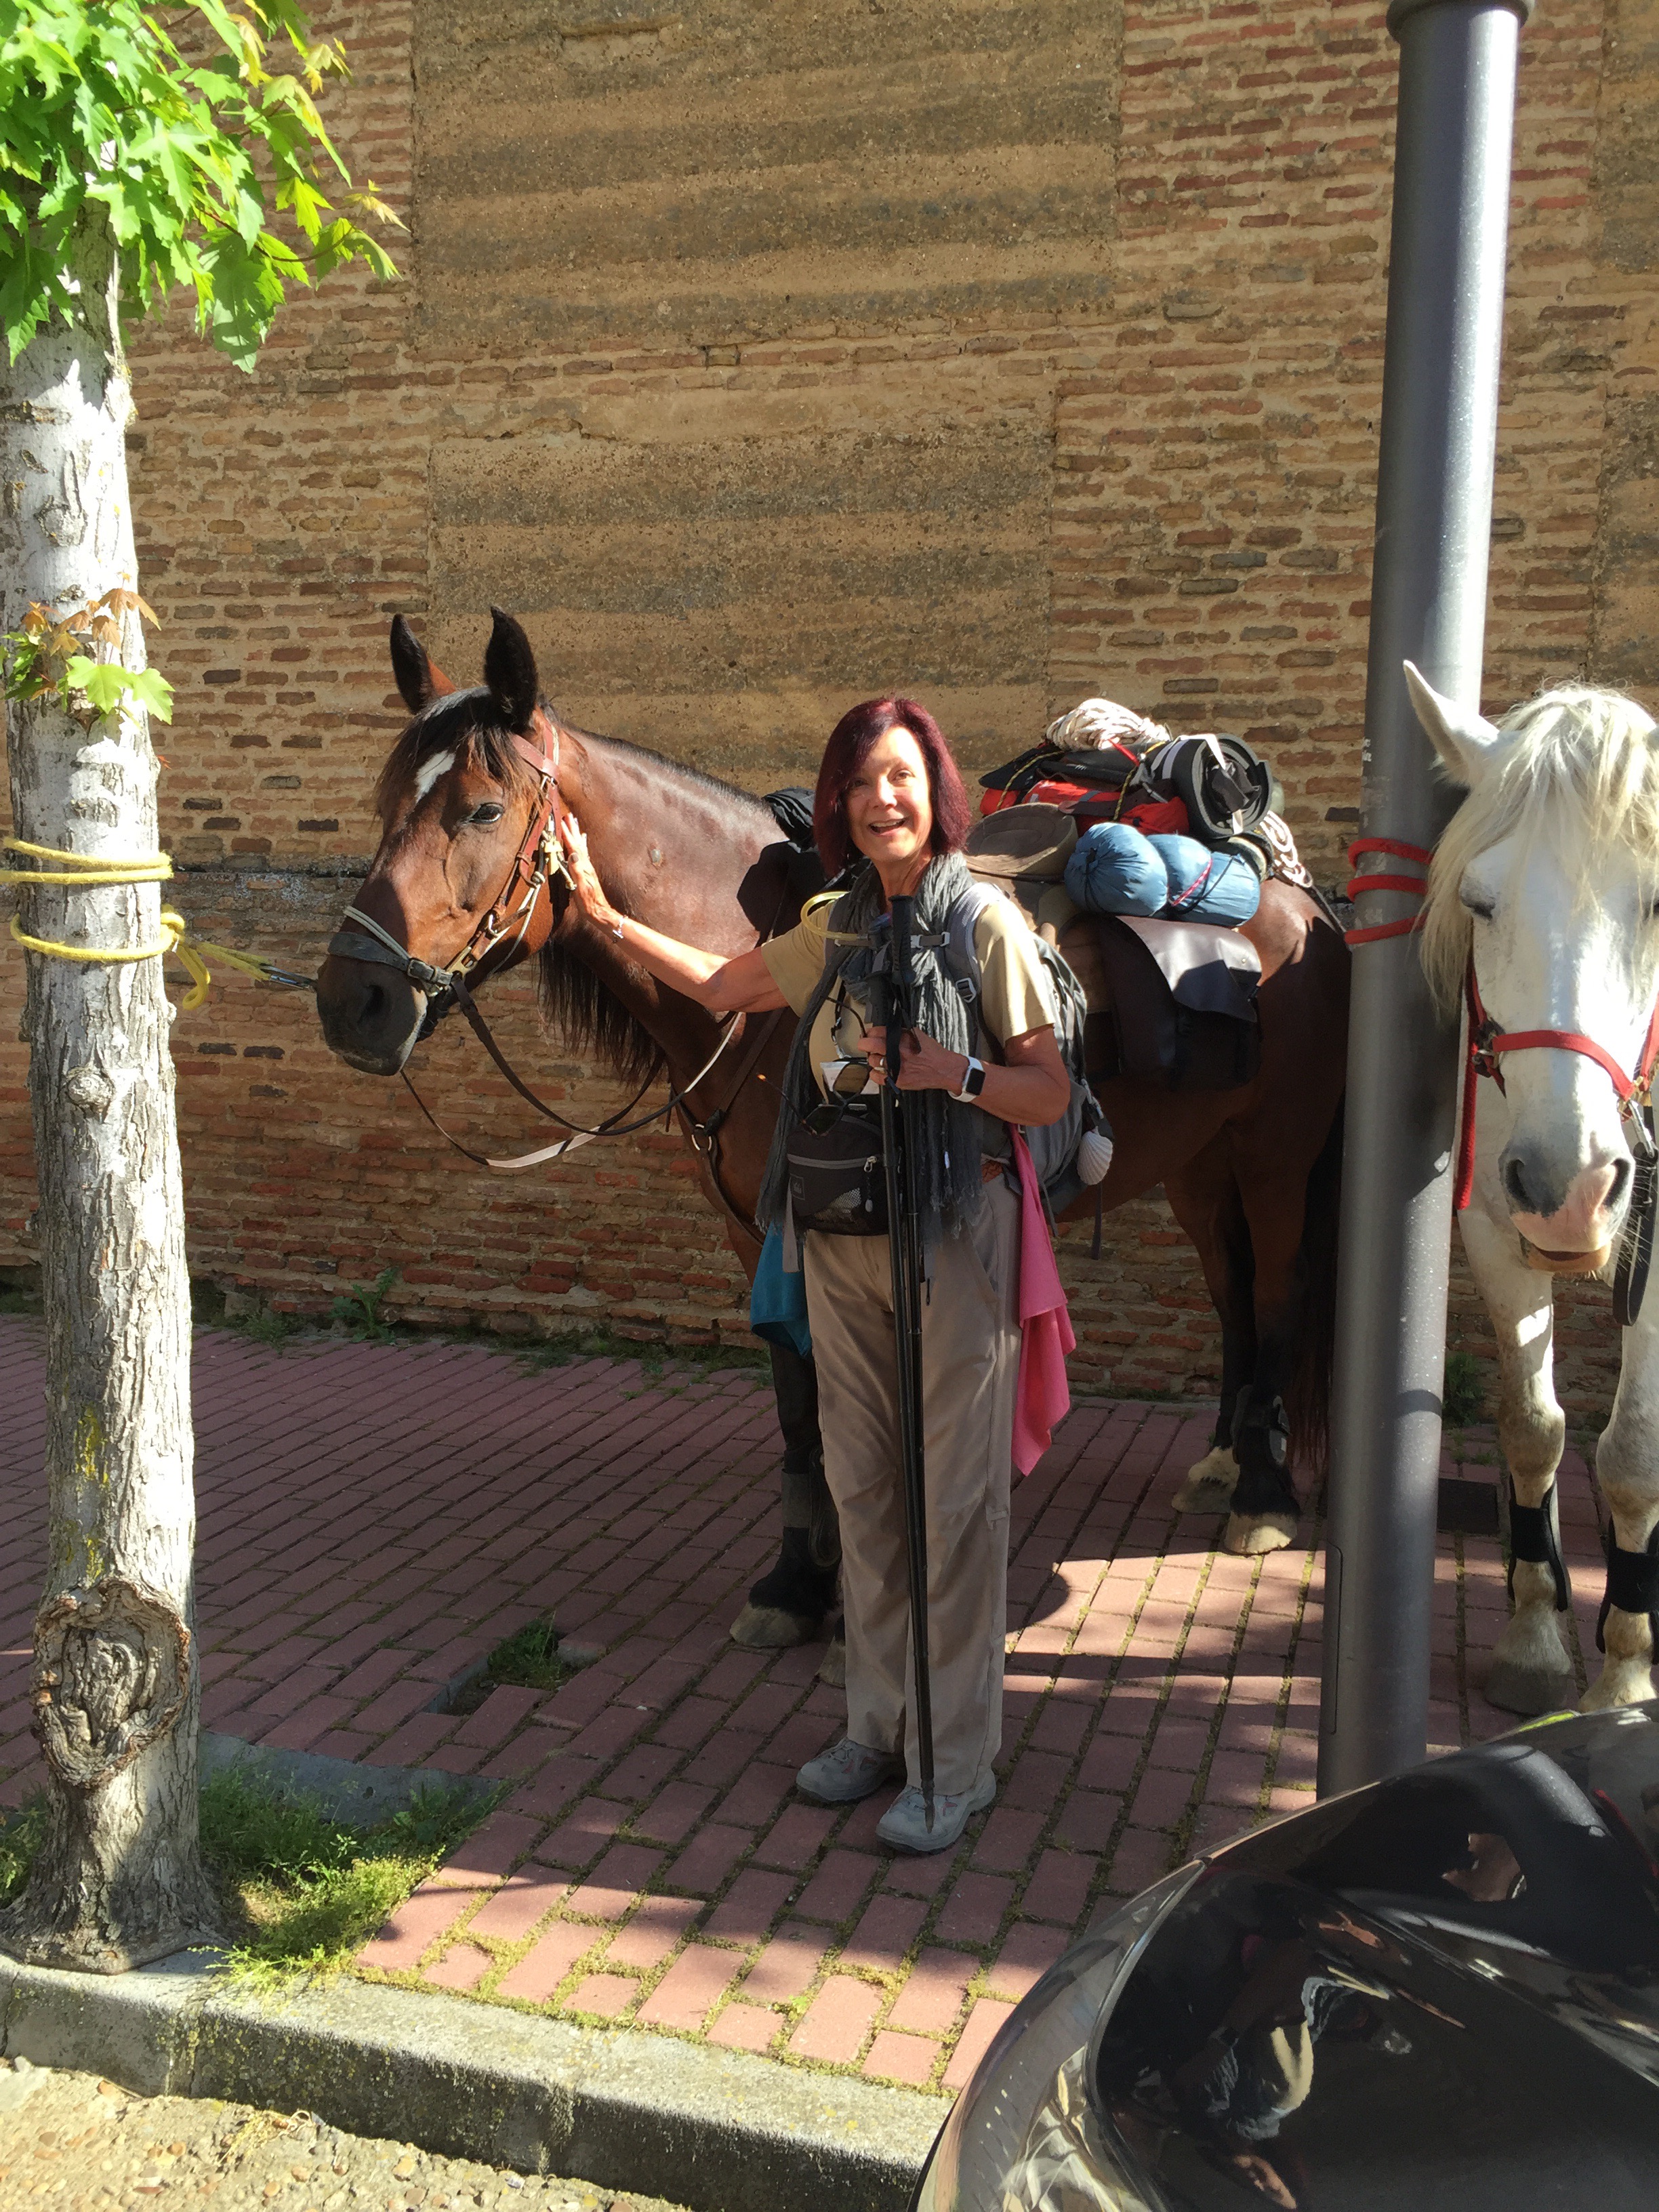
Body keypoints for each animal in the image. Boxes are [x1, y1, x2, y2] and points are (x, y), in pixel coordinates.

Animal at [319, 606, 1353, 1628]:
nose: (352, 1002)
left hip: (1273, 1157)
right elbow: (796, 1398)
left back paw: (1261, 1494)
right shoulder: (760, 1227)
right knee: (1230, 1293)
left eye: (483, 810)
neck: (759, 976)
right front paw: (800, 1575)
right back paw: (1222, 1459)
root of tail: (1304, 906)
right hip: (1201, 1164)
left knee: (1276, 1291)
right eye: (385, 803)